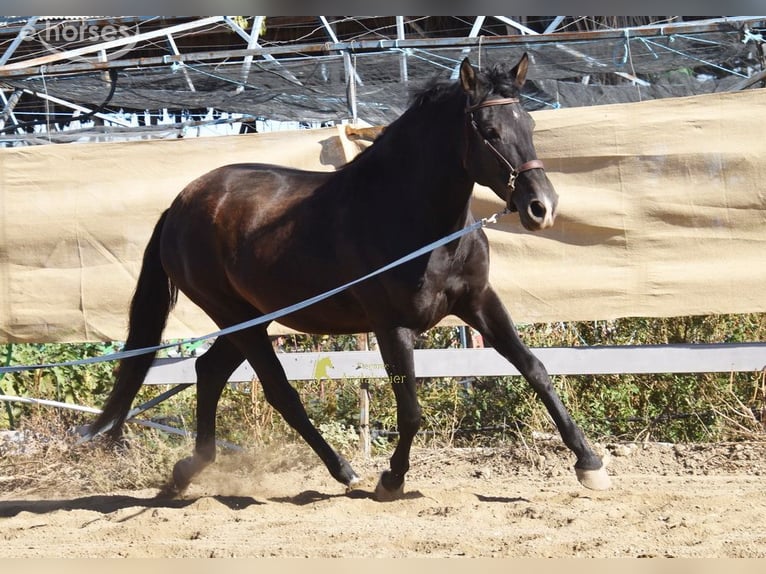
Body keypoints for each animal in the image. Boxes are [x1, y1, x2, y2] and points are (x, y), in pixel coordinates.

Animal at [88, 54, 611, 500]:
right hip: (235, 317)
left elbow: (536, 370)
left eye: (529, 124)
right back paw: (344, 470)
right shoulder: (390, 325)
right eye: (488, 130)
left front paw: (589, 464)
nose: (541, 208)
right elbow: (411, 411)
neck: (416, 221)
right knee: (279, 392)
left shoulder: (479, 301)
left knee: (210, 372)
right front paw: (391, 480)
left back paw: (189, 471)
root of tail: (180, 203)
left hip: (253, 318)